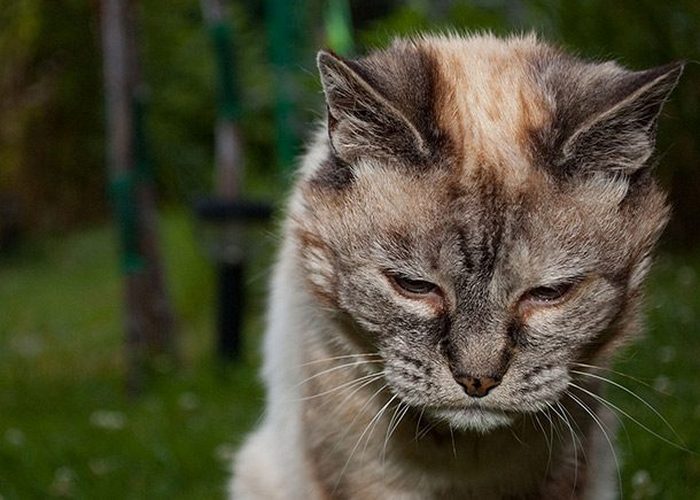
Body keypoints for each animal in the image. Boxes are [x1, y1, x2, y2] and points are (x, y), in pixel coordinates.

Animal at [230, 33, 684, 498]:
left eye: (548, 294)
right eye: (413, 286)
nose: (477, 382)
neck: (465, 464)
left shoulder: (566, 469)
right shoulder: (364, 477)